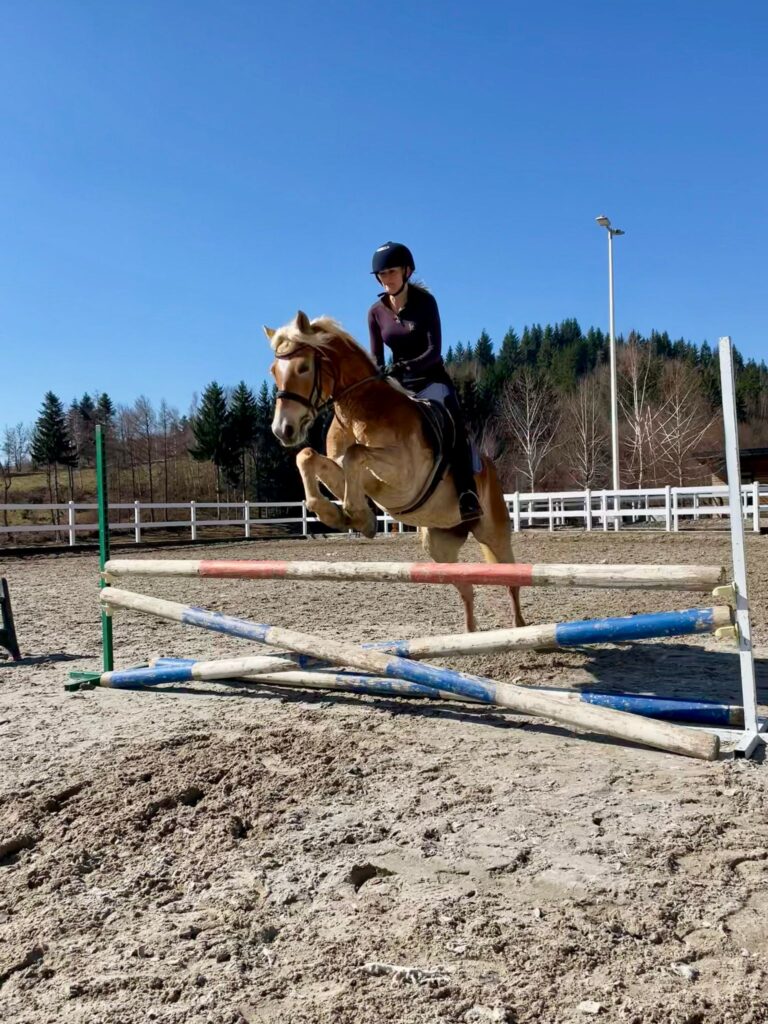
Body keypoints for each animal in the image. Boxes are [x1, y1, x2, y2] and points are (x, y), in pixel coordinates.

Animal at [265, 311, 525, 632]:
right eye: (273, 371)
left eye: (303, 367)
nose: (283, 430)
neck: (360, 409)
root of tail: (491, 470)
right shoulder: (349, 472)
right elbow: (309, 456)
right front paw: (338, 515)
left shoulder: (405, 475)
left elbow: (355, 454)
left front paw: (358, 517)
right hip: (439, 546)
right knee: (467, 589)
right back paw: (468, 635)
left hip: (494, 533)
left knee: (512, 579)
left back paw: (520, 627)